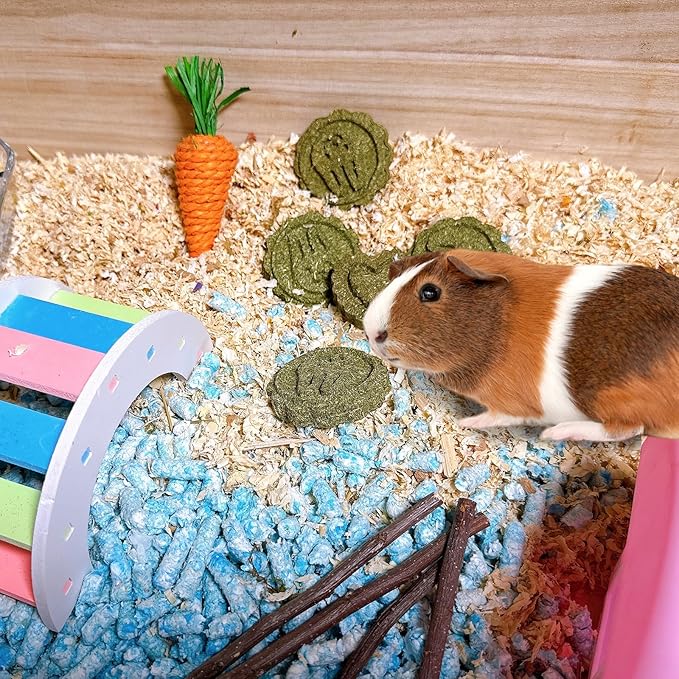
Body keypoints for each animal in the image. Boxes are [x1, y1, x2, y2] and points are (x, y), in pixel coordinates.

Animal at [363, 248, 679, 442]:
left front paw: (466, 423)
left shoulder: (515, 405)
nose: (370, 331)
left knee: (627, 428)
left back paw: (555, 434)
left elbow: (497, 415)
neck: (499, 327)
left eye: (430, 292)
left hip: (607, 399)